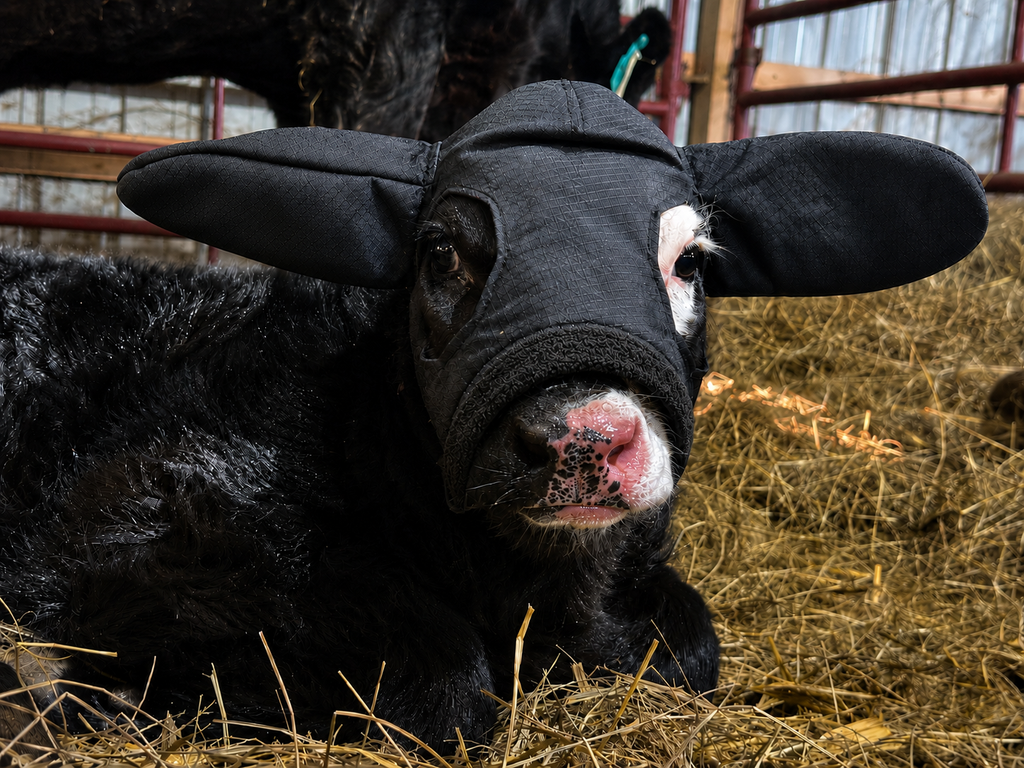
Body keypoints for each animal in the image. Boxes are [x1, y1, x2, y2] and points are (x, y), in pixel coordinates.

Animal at [0, 81, 988, 756]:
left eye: (692, 264)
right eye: (442, 253)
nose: (584, 437)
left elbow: (690, 642)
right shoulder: (150, 521)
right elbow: (437, 673)